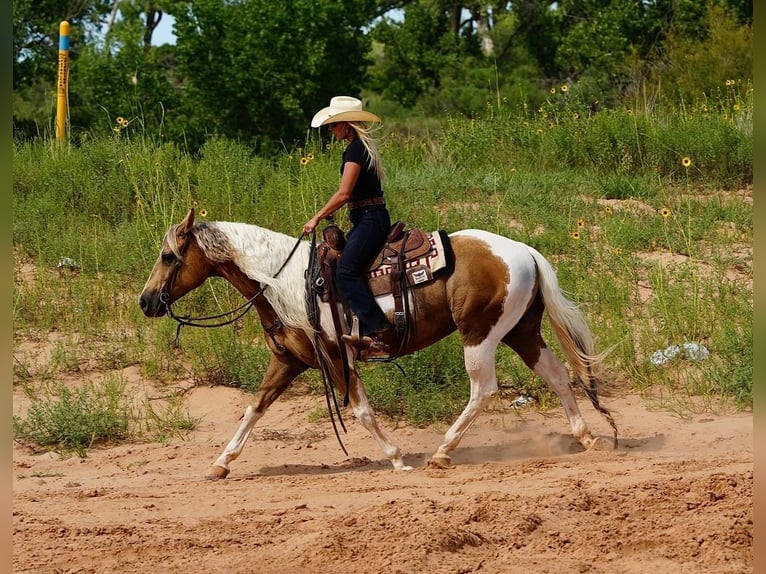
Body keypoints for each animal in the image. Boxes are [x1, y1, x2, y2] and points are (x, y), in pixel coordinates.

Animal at [138, 209, 616, 480]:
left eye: (167, 256)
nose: (145, 301)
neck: (283, 280)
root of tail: (524, 250)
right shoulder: (290, 360)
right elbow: (253, 408)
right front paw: (221, 462)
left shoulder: (336, 356)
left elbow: (362, 411)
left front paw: (397, 457)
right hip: (521, 331)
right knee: (556, 375)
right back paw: (586, 437)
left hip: (479, 335)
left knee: (483, 390)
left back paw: (442, 453)